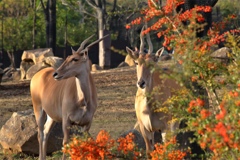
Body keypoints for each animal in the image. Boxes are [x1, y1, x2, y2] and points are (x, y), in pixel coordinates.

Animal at [126, 26, 181, 158]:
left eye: (152, 63)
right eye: (137, 62)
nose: (141, 83)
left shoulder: (165, 128)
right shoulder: (145, 129)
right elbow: (149, 151)